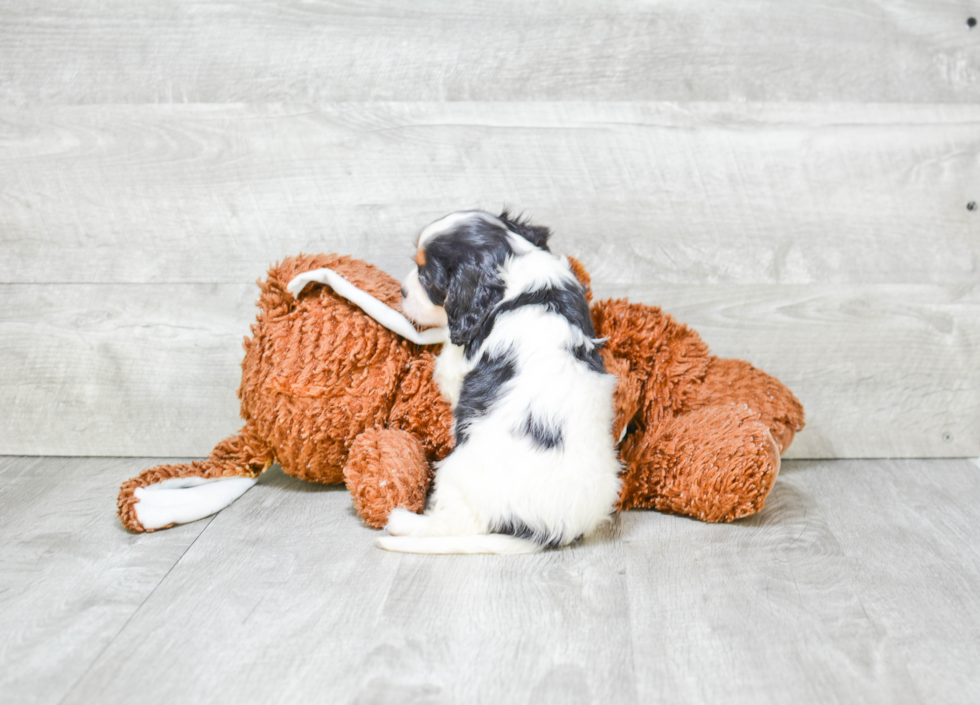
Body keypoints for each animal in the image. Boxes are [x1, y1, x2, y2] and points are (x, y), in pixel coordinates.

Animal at [376, 212, 620, 552]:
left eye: (426, 278)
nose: (401, 290)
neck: (514, 266)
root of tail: (545, 531)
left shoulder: (455, 362)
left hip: (454, 473)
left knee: (453, 526)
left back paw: (403, 522)